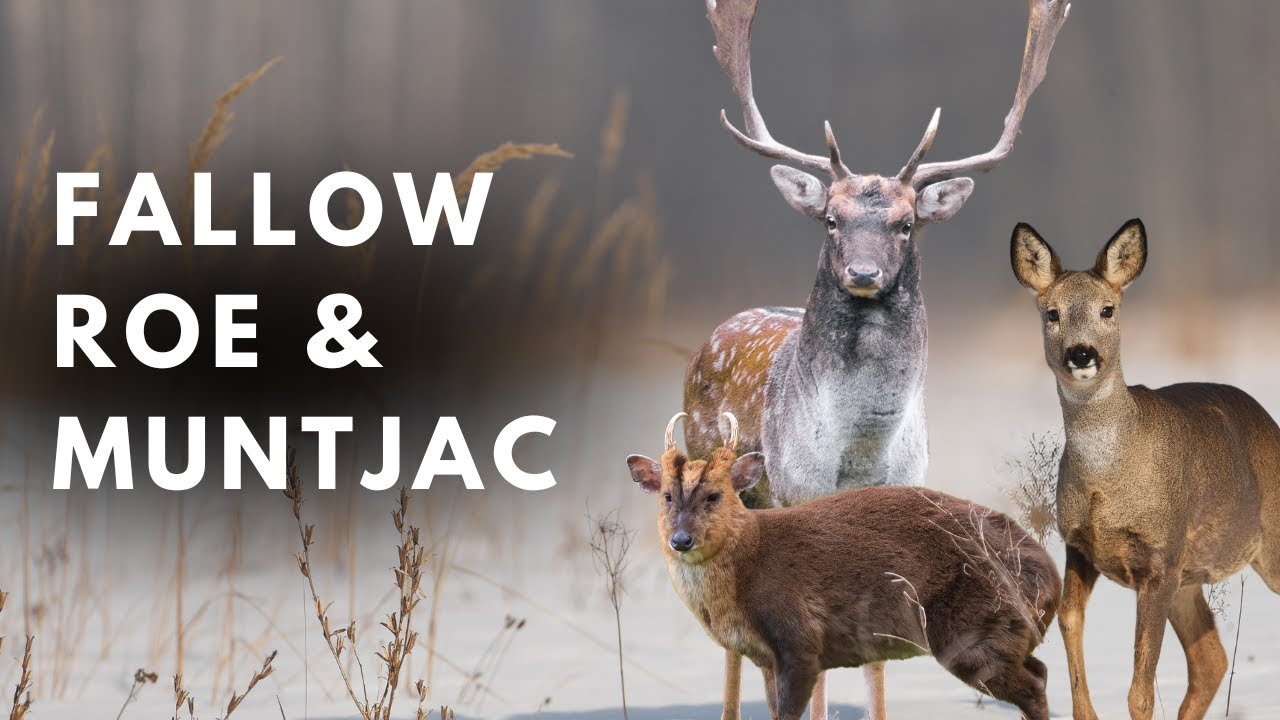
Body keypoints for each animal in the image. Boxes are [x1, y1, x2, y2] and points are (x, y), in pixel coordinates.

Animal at [627, 412, 1062, 720]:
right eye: (666, 496)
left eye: (716, 495)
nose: (681, 540)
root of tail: (1051, 579)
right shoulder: (765, 658)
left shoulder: (800, 641)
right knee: (1039, 671)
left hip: (974, 631)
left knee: (1033, 687)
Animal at [685, 1, 1071, 717]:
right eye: (830, 220)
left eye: (906, 223)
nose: (863, 273)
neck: (860, 451)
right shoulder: (798, 492)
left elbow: (878, 660)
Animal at [1010, 219, 1280, 719]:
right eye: (1052, 313)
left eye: (1108, 309)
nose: (1081, 354)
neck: (1108, 480)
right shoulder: (1079, 544)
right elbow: (1069, 621)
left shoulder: (1160, 556)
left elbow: (1140, 691)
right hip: (1190, 577)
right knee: (1211, 660)